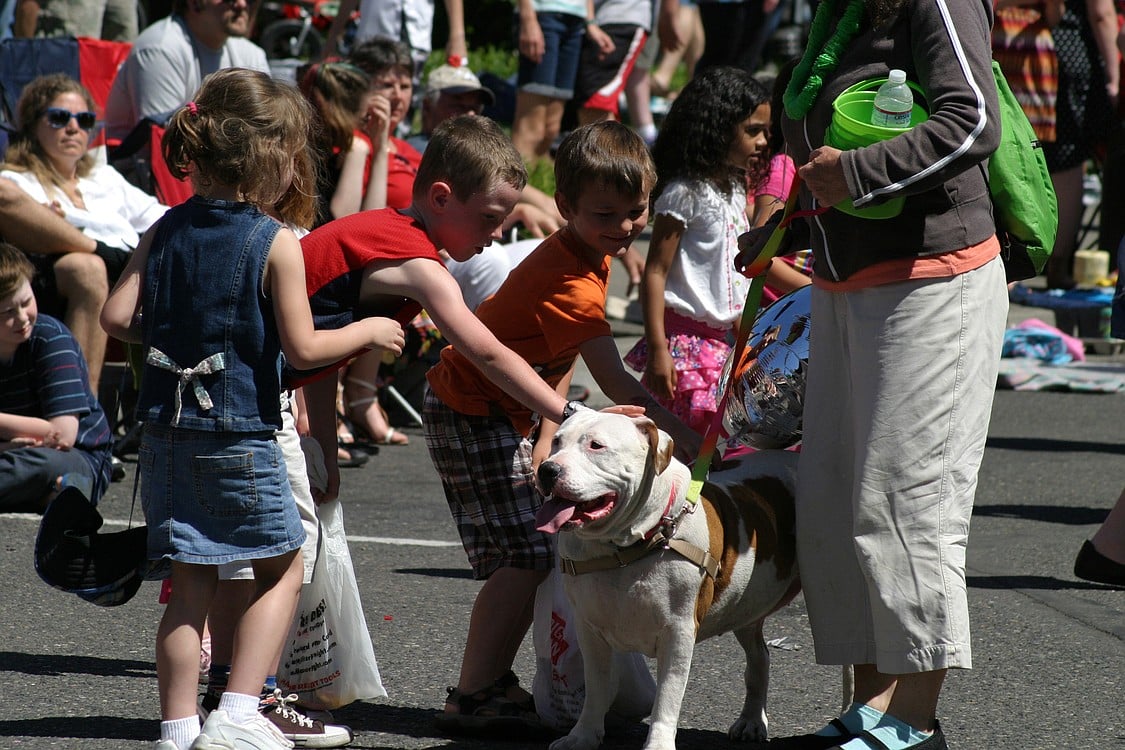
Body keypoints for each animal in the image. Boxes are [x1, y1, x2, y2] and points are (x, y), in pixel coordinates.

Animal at [535, 411, 801, 750]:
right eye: (557, 441)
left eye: (596, 445)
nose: (547, 469)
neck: (625, 546)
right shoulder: (590, 629)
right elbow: (595, 688)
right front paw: (582, 736)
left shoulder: (678, 631)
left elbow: (668, 695)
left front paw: (658, 743)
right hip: (746, 608)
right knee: (759, 658)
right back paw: (752, 721)